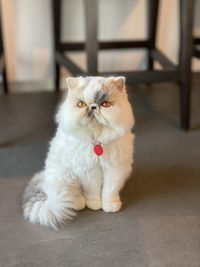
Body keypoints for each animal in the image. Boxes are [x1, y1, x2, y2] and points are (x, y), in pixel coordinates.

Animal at [22, 76, 135, 229]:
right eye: (81, 104)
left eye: (105, 104)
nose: (93, 106)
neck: (97, 139)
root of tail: (44, 178)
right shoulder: (89, 171)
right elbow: (93, 191)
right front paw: (94, 205)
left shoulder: (115, 169)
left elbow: (110, 190)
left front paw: (110, 206)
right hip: (67, 176)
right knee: (71, 195)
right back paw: (78, 203)